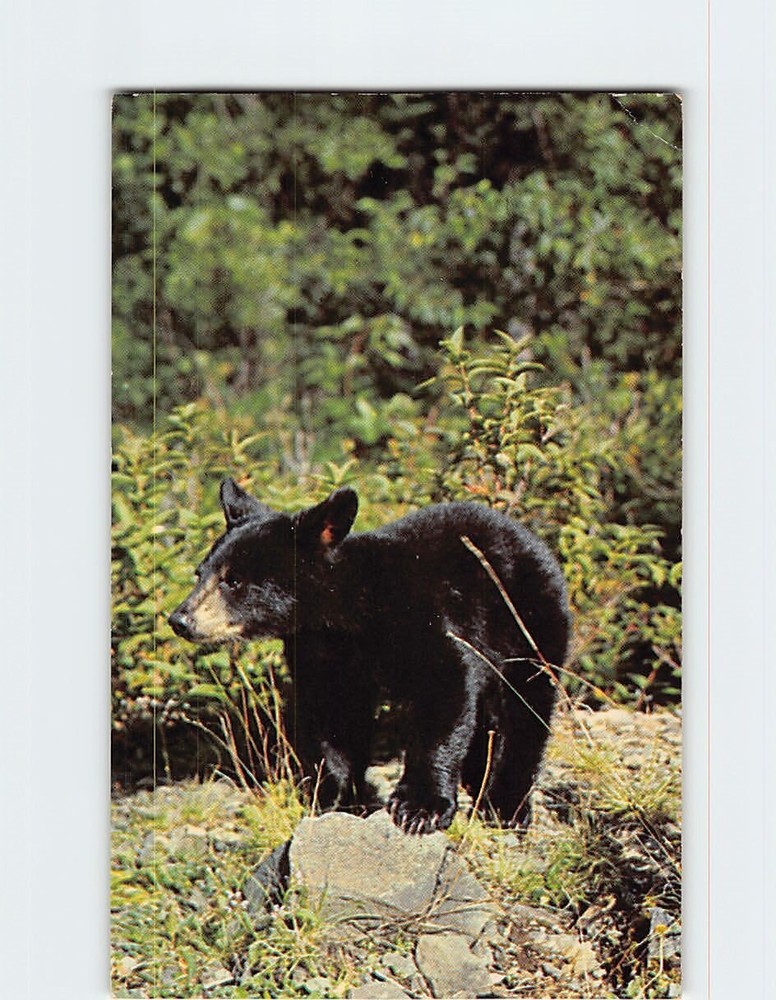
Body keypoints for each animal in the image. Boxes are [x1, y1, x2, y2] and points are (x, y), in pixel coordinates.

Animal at [169, 479, 571, 834]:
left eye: (233, 580)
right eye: (200, 573)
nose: (180, 619)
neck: (351, 612)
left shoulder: (423, 620)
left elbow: (444, 691)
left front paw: (419, 808)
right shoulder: (323, 652)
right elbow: (333, 716)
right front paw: (338, 796)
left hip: (526, 620)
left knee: (525, 707)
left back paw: (506, 805)